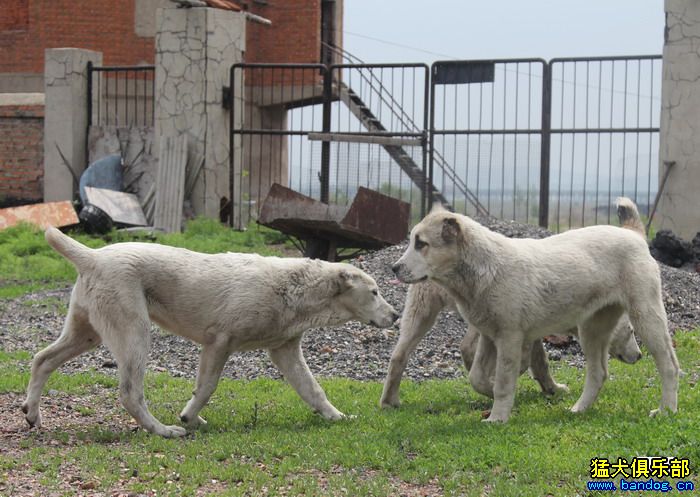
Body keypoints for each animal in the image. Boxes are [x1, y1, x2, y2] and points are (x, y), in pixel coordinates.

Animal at [24, 227, 396, 436]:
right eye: (375, 292)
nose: (394, 315)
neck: (295, 288)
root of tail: (92, 256)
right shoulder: (219, 342)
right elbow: (206, 388)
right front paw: (190, 417)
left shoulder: (285, 351)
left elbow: (313, 390)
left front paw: (337, 417)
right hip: (134, 335)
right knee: (130, 393)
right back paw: (164, 431)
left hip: (87, 334)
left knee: (42, 359)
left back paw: (31, 413)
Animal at [392, 199, 676, 422]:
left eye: (421, 244)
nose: (394, 268)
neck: (485, 267)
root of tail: (634, 234)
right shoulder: (488, 337)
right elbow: (476, 377)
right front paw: (492, 394)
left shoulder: (509, 338)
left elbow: (504, 381)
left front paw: (497, 417)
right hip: (592, 329)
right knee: (598, 373)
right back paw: (579, 409)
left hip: (646, 316)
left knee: (669, 365)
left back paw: (666, 410)